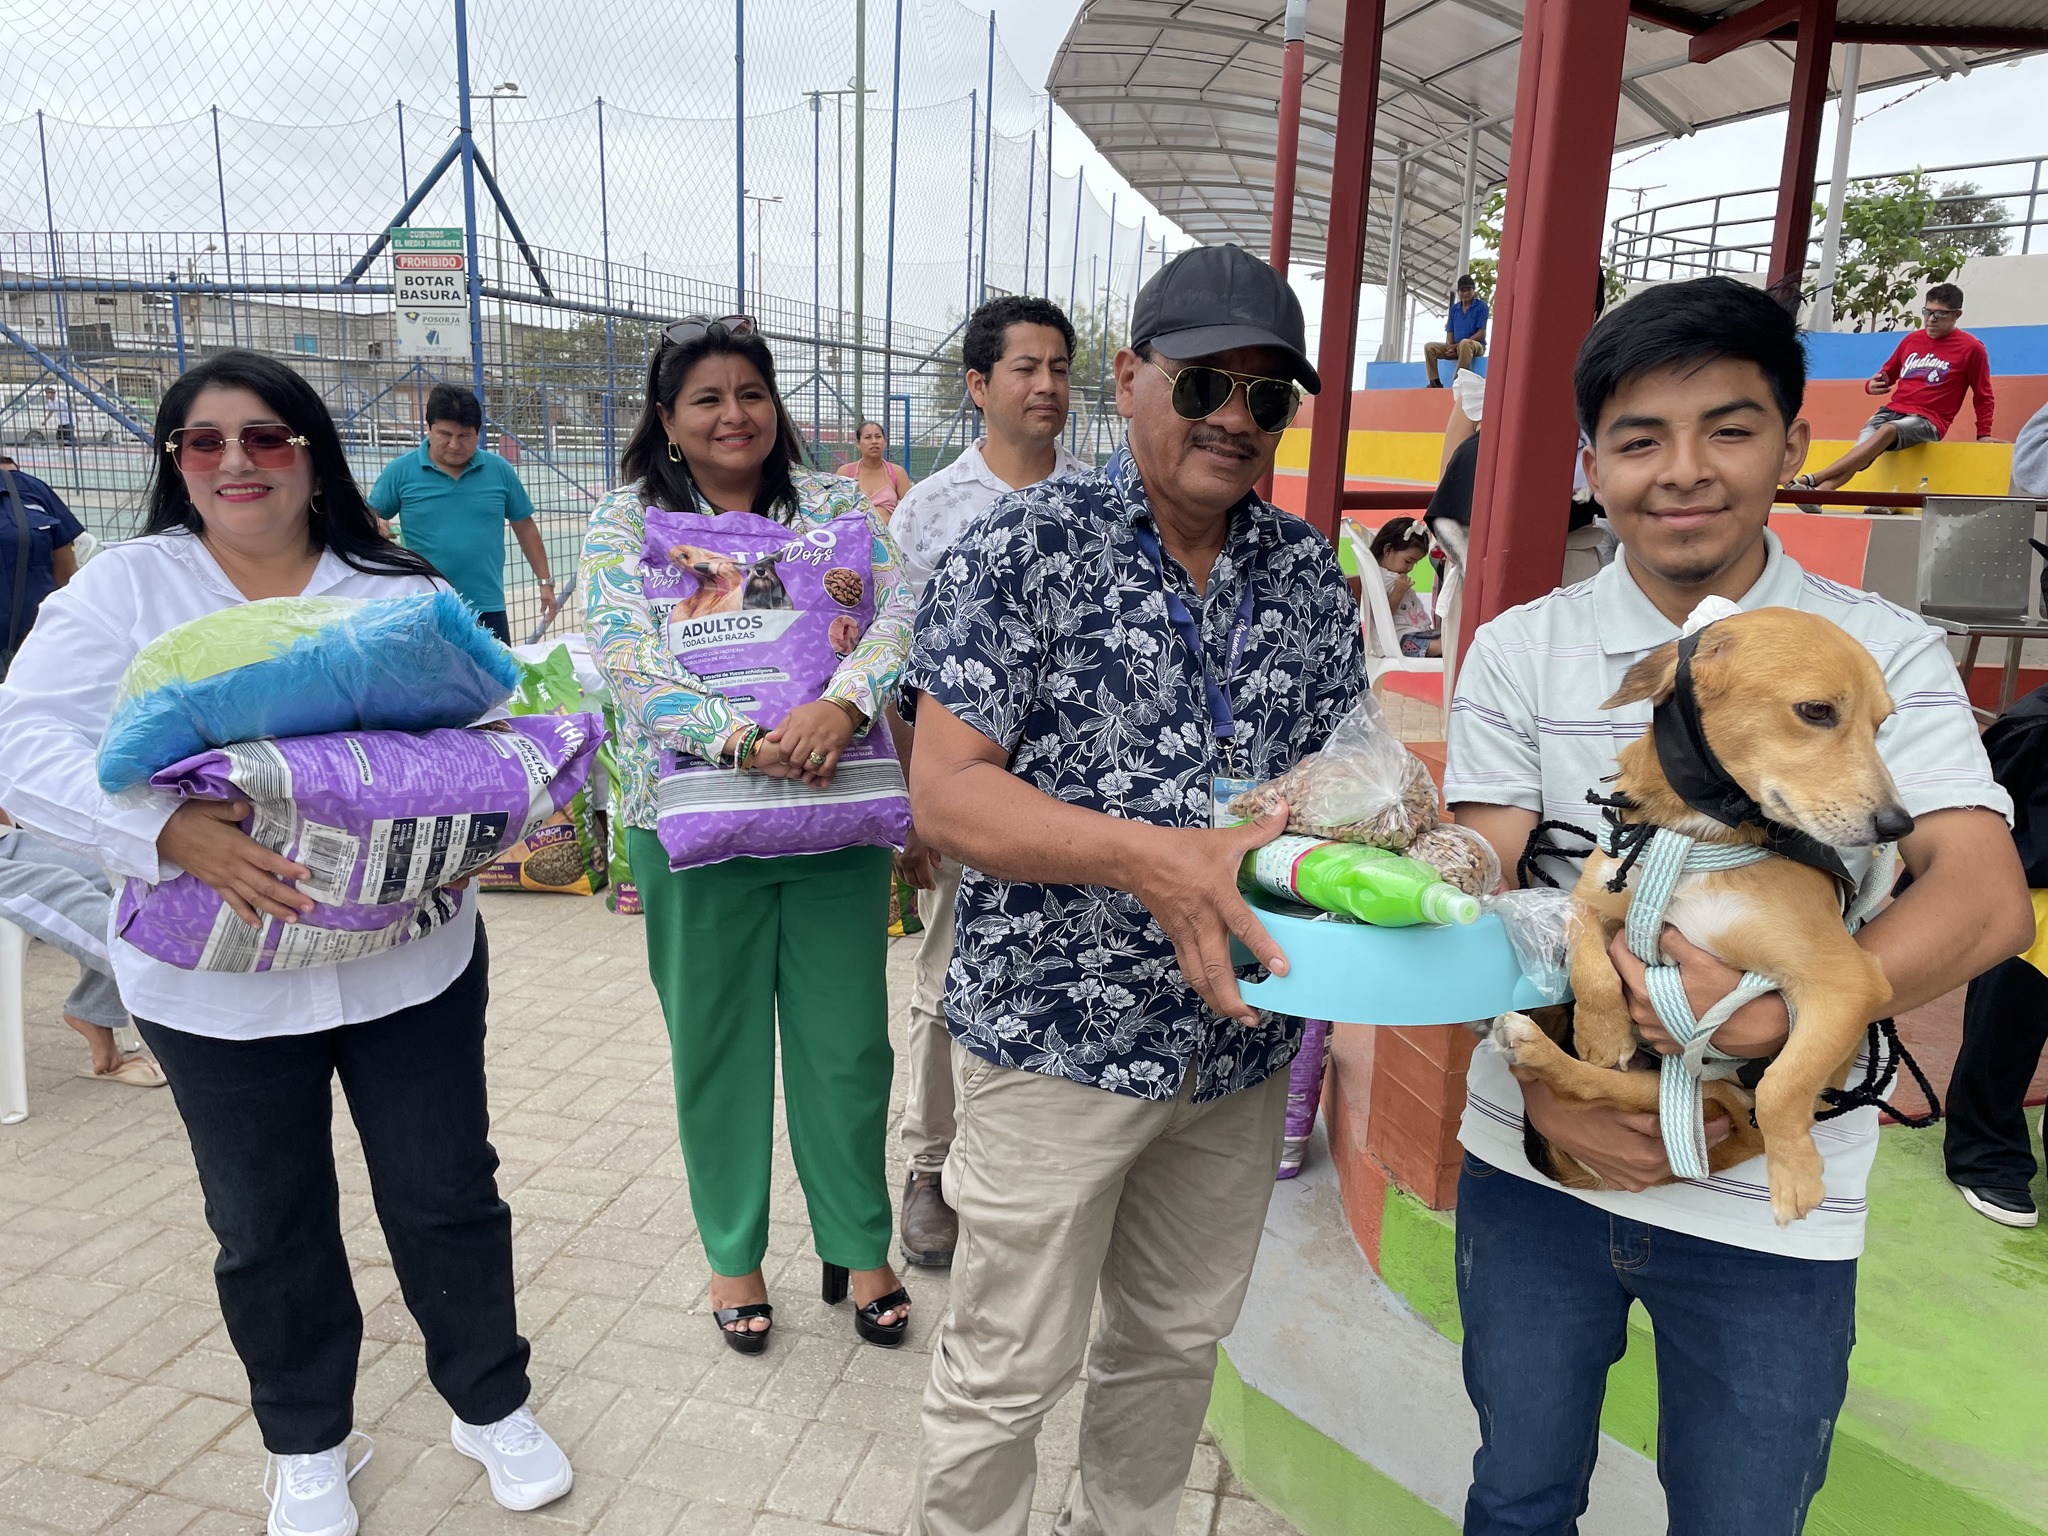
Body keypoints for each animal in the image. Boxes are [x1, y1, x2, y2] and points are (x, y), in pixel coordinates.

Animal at [1485, 606, 1914, 1225]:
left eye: (1881, 724)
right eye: (1816, 711)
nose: (1899, 826)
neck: (1693, 841)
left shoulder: (1846, 983)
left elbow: (1783, 1084)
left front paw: (1795, 1173)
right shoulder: (1593, 898)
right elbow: (1589, 959)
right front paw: (1600, 1029)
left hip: (1701, 1084)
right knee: (1596, 1087)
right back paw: (1541, 1047)